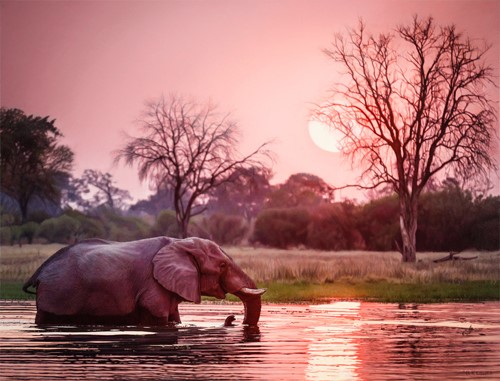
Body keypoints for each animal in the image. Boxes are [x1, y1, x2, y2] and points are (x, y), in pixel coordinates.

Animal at [23, 236, 266, 326]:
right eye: (222, 266)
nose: (232, 317)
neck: (179, 242)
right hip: (58, 293)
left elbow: (174, 318)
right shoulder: (153, 285)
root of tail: (39, 271)